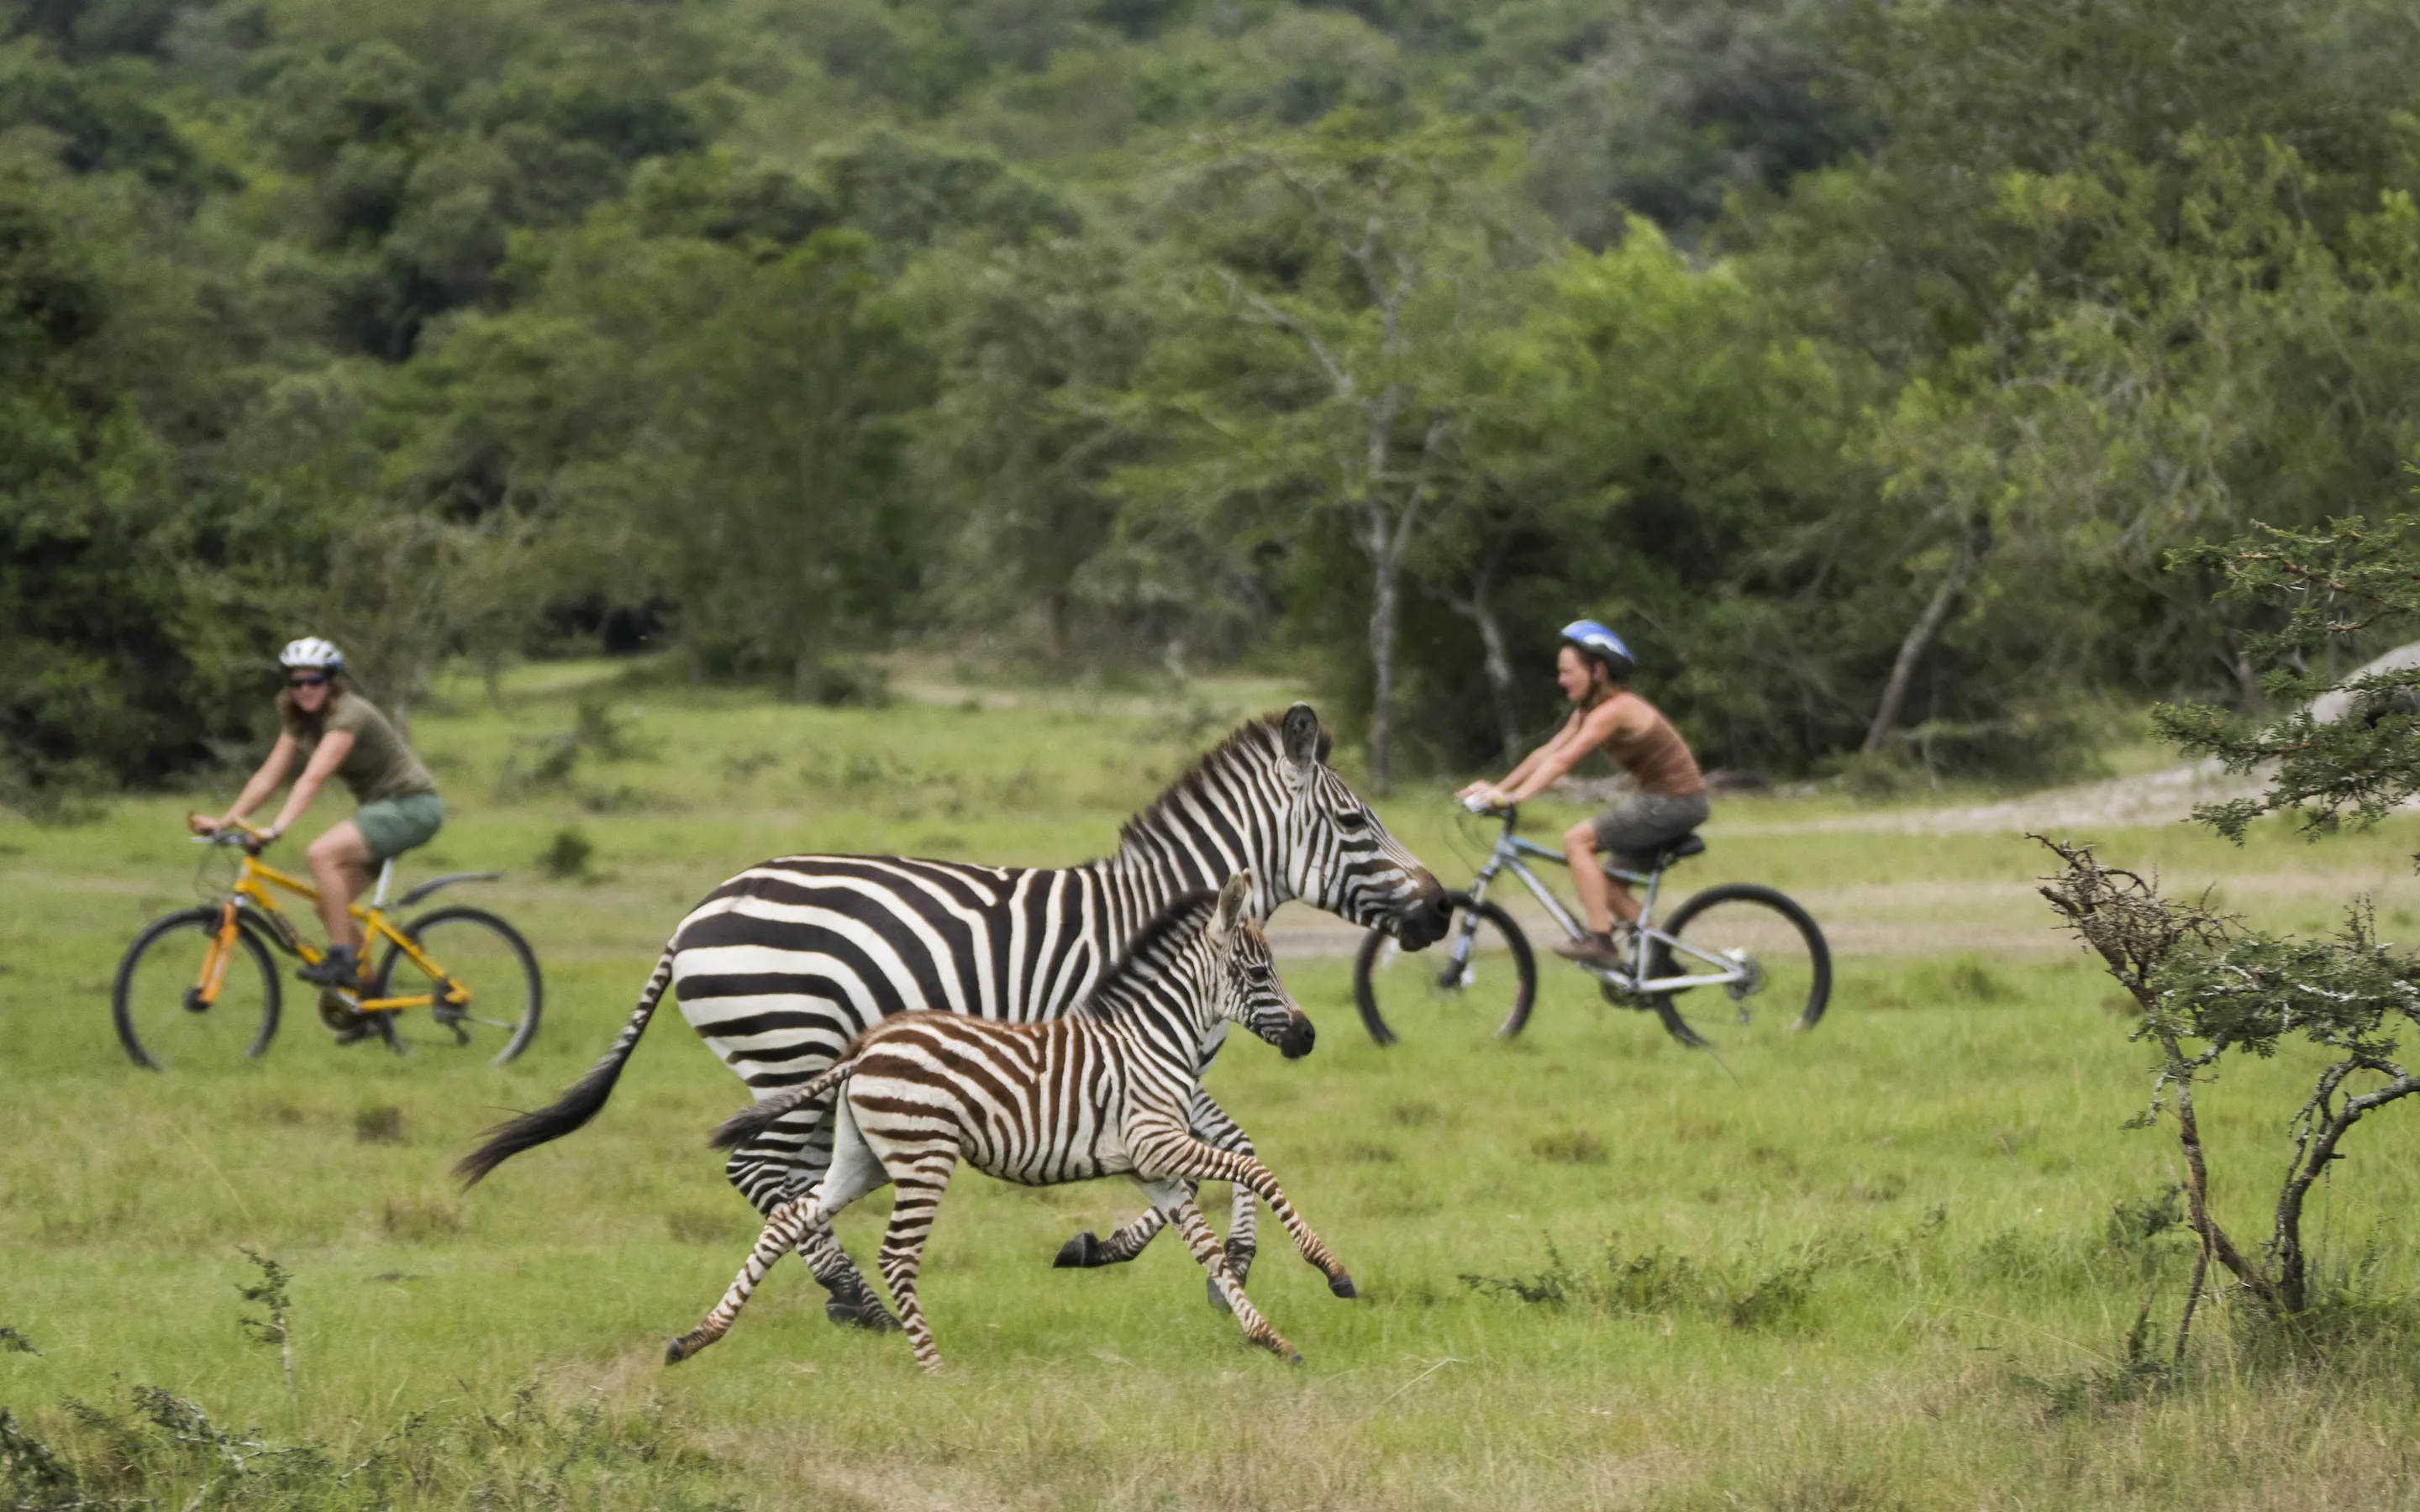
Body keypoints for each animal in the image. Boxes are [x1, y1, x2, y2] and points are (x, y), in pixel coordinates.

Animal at [664, 874, 1355, 1372]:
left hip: (863, 1161)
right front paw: (1333, 1273)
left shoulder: (1151, 1167)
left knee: (789, 1220)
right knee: (894, 1255)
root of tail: (864, 1048)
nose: (1308, 1037)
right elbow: (1256, 1170)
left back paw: (695, 1338)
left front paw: (1271, 1339)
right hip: (923, 1155)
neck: (1152, 1038)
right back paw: (934, 1370)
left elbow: (1206, 1249)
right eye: (1258, 972)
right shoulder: (1157, 1143)